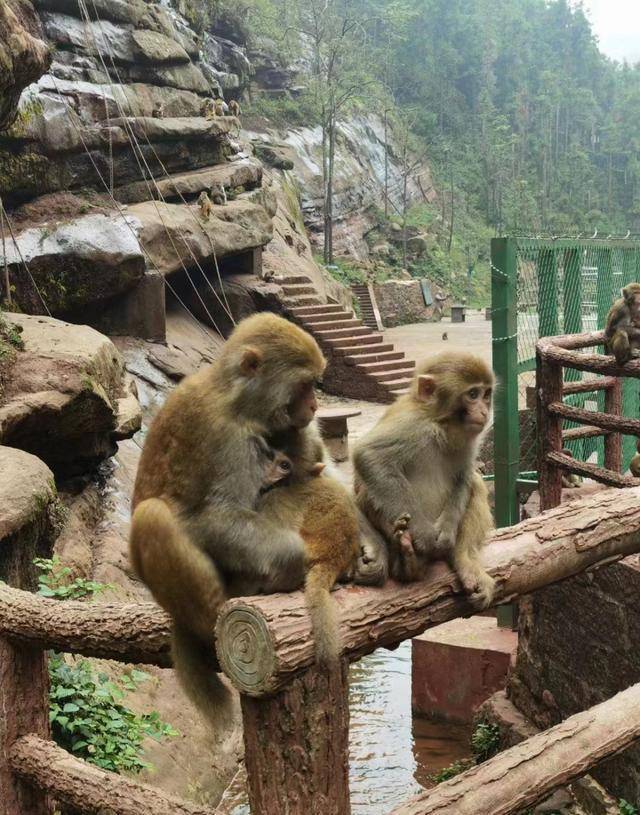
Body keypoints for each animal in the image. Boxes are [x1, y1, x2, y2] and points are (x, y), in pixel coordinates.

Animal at [128, 316, 328, 724]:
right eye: (304, 385)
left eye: (314, 385)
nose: (315, 405)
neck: (239, 402)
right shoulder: (227, 436)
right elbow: (214, 515)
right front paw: (292, 557)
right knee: (152, 516)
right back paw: (214, 623)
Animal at [356, 354, 496, 608]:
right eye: (473, 394)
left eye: (486, 394)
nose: (483, 411)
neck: (440, 425)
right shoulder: (412, 423)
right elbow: (370, 456)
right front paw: (423, 535)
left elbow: (465, 474)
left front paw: (447, 532)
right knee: (371, 490)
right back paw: (408, 563)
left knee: (476, 484)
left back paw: (464, 561)